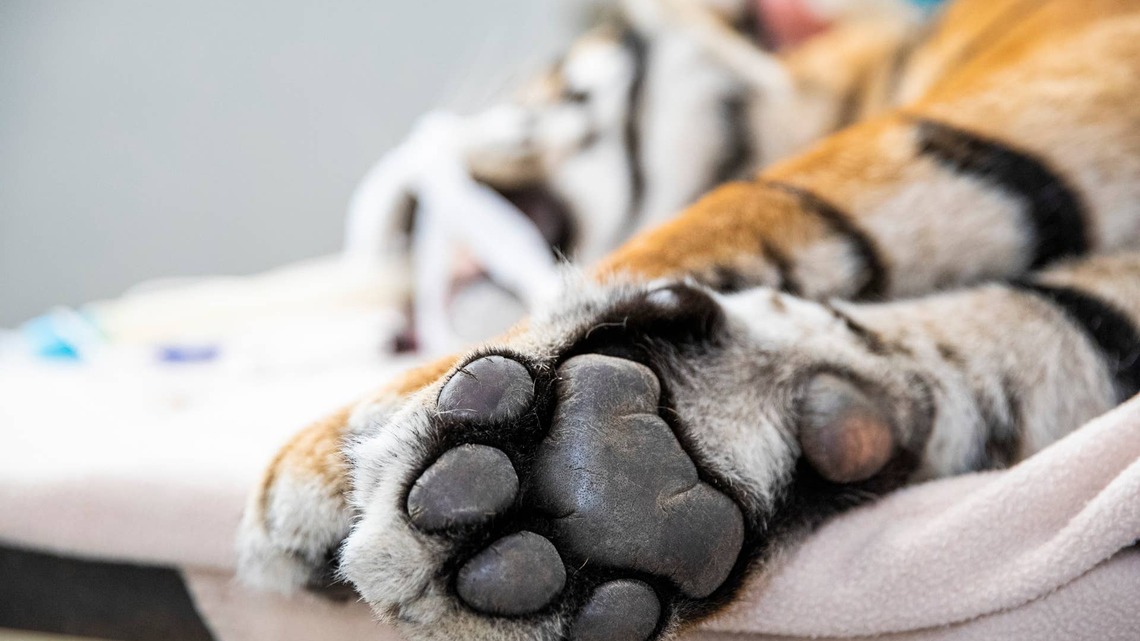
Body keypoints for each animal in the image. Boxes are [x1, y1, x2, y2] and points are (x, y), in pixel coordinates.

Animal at [238, 1, 1140, 640]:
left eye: (550, 78)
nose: (400, 212)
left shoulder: (1070, 60)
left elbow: (750, 206)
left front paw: (322, 456)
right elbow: (1068, 327)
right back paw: (619, 479)